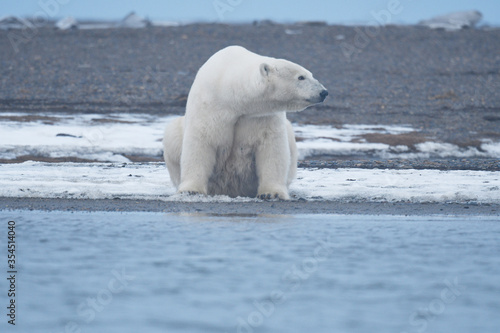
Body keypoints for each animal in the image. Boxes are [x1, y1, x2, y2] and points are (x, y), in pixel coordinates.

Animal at [164, 45, 328, 198]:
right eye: (301, 77)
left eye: (310, 74)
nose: (324, 92)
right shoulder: (209, 106)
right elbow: (201, 142)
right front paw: (191, 190)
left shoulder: (261, 116)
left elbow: (271, 148)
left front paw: (271, 193)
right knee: (172, 134)